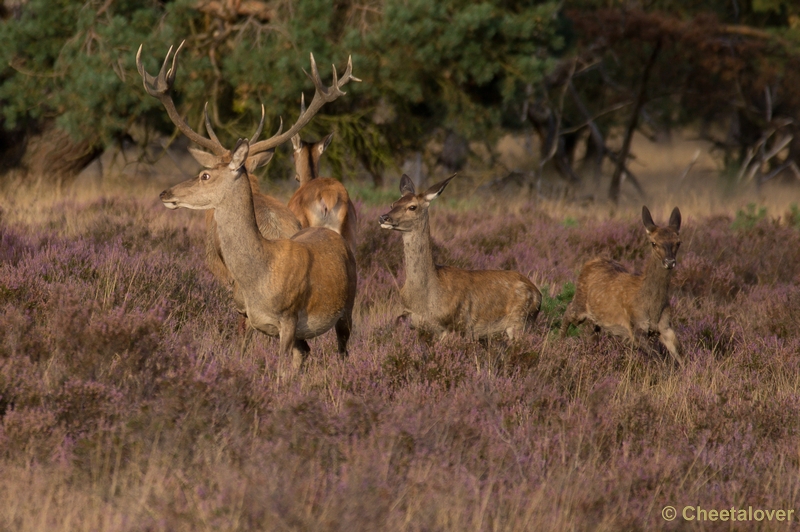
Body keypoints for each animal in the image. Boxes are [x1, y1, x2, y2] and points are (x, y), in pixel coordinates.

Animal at [382, 175, 544, 340]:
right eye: (393, 204)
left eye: (412, 207)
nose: (384, 217)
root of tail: (538, 294)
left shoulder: (454, 324)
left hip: (520, 320)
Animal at [560, 205, 684, 366]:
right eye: (653, 242)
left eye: (678, 242)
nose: (669, 262)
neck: (652, 308)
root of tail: (591, 261)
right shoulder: (635, 325)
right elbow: (659, 358)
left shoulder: (665, 326)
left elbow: (680, 354)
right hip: (580, 303)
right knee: (568, 311)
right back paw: (559, 345)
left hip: (597, 319)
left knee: (594, 333)